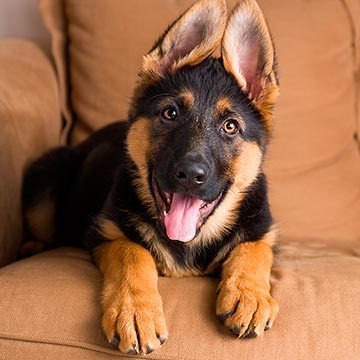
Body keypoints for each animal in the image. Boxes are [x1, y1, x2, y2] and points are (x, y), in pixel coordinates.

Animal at [21, 0, 282, 354]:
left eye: (230, 126)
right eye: (170, 113)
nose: (190, 175)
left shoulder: (264, 230)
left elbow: (253, 250)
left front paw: (248, 295)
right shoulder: (107, 232)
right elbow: (133, 254)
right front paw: (134, 312)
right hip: (46, 175)